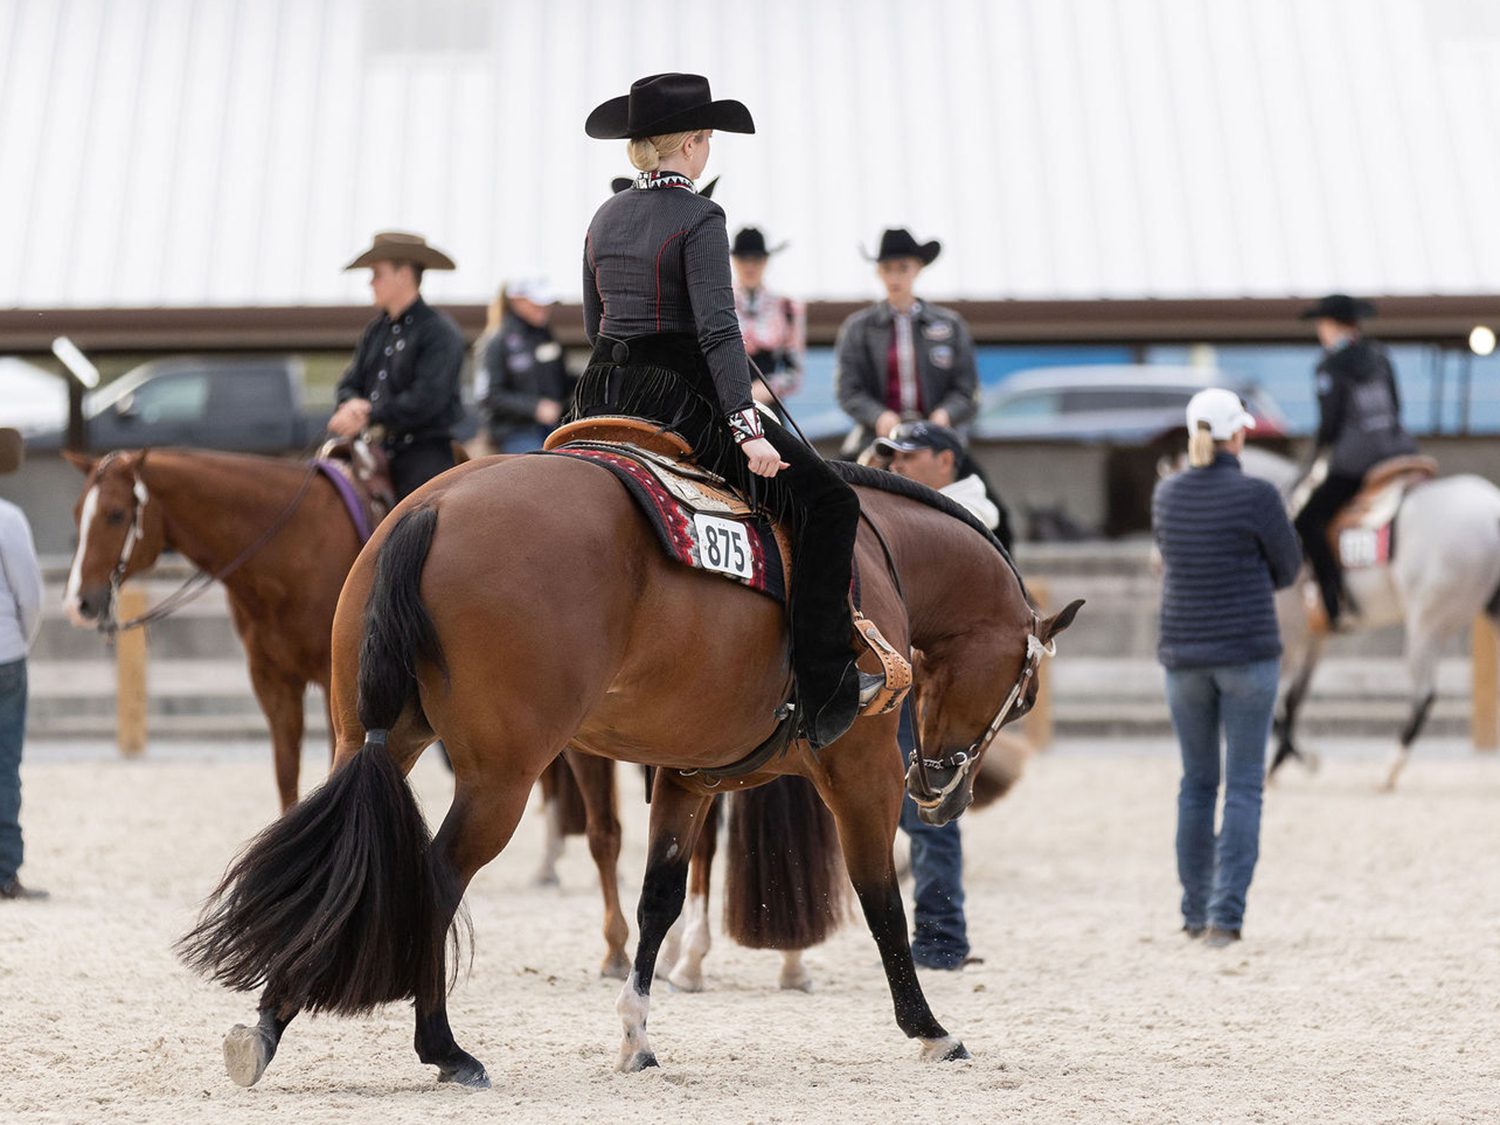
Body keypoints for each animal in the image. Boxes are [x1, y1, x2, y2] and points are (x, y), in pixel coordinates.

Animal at [67, 450, 366, 810]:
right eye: (77, 513)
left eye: (115, 514)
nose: (77, 603)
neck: (298, 550)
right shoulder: (271, 680)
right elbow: (286, 774)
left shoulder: (333, 680)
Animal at [181, 456, 1086, 1092]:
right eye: (1026, 691)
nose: (940, 790)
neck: (877, 554)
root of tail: (432, 508)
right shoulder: (859, 768)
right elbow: (879, 903)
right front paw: (930, 1027)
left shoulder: (689, 777)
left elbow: (657, 902)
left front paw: (637, 1036)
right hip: (500, 780)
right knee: (430, 877)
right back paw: (443, 1047)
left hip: (368, 740)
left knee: (340, 868)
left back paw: (267, 1023)